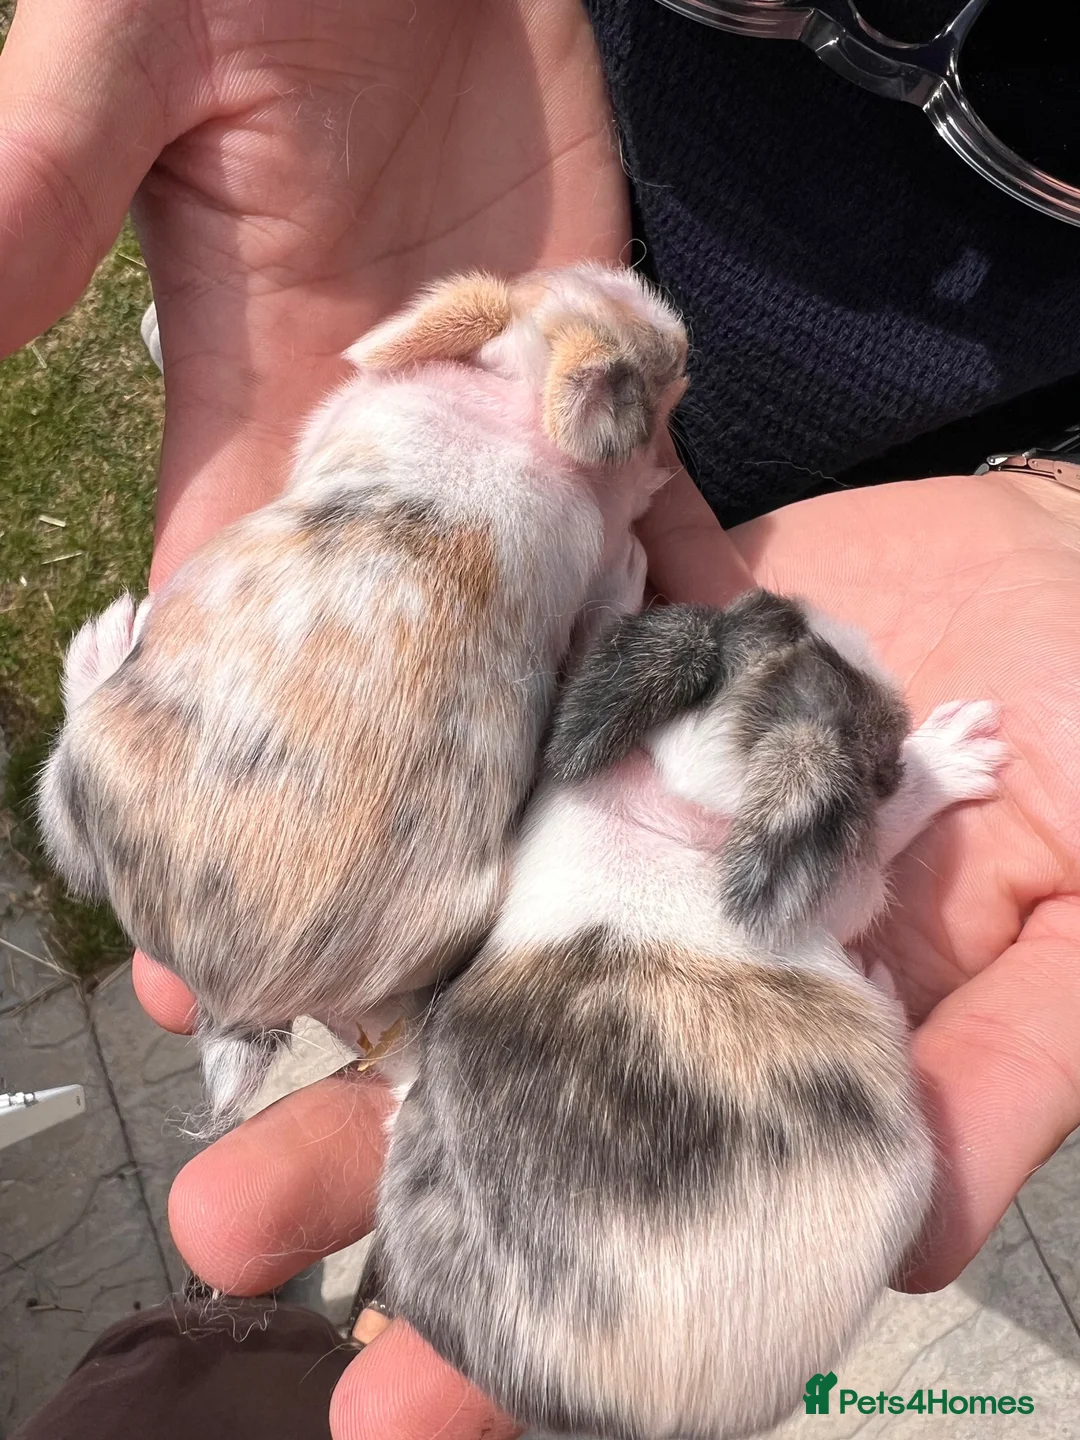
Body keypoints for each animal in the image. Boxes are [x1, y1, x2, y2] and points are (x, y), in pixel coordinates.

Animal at [375, 590, 1007, 1440]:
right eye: (881, 759)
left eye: (762, 611)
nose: (806, 606)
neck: (675, 801)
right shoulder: (846, 890)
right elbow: (882, 847)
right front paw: (948, 758)